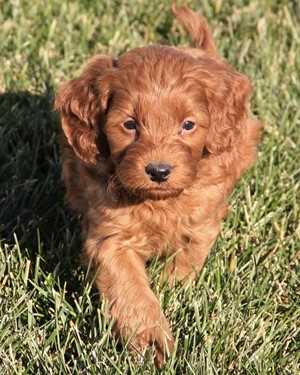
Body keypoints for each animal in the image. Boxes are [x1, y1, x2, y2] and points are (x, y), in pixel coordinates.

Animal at [55, 2, 262, 368]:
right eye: (129, 125)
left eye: (188, 125)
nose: (159, 170)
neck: (158, 201)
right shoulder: (112, 238)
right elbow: (130, 289)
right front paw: (150, 339)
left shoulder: (202, 221)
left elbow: (186, 261)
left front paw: (171, 290)